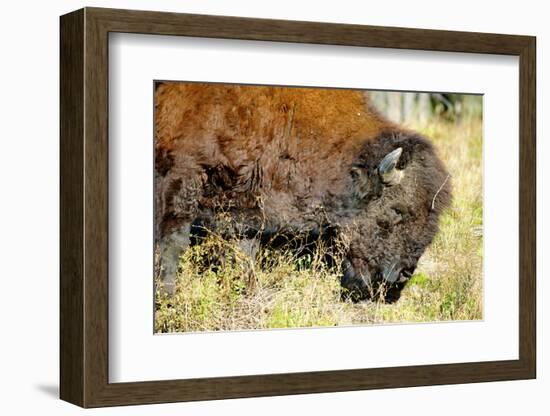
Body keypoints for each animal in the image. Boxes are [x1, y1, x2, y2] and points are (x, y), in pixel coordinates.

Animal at [155, 82, 452, 302]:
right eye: (397, 210)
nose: (403, 274)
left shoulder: (245, 204)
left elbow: (245, 252)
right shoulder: (179, 179)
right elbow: (172, 243)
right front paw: (167, 295)